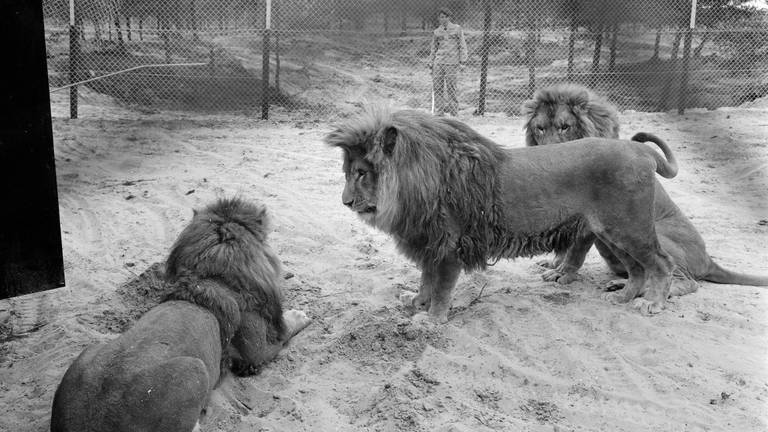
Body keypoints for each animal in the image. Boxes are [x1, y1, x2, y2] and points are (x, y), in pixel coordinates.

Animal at [49, 198, 308, 432]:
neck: (212, 277)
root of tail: (91, 423)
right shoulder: (255, 354)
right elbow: (285, 333)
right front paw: (300, 315)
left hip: (89, 352)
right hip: (195, 369)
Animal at [324, 109, 680, 324]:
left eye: (361, 173)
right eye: (346, 172)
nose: (345, 202)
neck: (416, 186)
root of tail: (638, 149)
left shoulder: (450, 247)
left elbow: (441, 288)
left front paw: (433, 319)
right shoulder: (429, 244)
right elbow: (426, 280)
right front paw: (416, 301)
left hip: (629, 227)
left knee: (662, 263)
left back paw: (653, 303)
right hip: (611, 232)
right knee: (637, 268)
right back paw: (625, 296)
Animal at [520, 82, 768, 292]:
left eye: (565, 127)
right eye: (540, 128)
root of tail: (708, 260)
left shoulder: (588, 219)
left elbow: (576, 250)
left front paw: (562, 274)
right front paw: (554, 264)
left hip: (650, 233)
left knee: (683, 280)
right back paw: (623, 285)